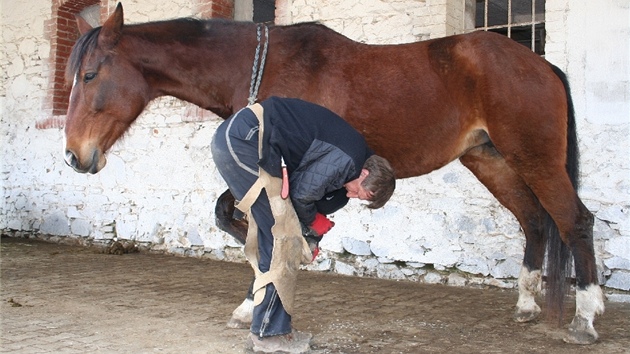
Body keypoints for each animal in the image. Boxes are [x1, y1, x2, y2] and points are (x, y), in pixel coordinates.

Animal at [63, 2, 608, 342]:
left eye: (90, 75)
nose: (74, 156)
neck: (264, 66)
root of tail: (541, 63)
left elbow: (263, 225)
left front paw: (257, 299)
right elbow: (236, 217)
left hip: (535, 158)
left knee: (574, 221)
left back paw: (585, 318)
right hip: (490, 160)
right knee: (534, 221)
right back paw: (527, 306)